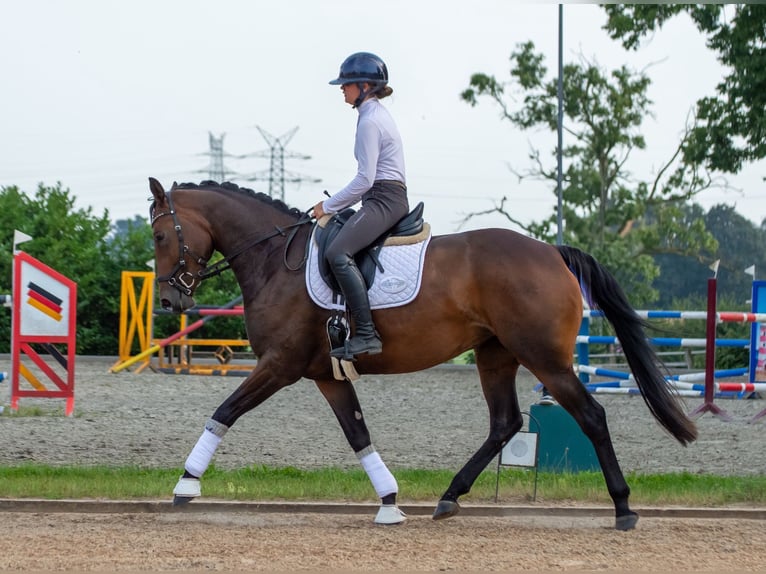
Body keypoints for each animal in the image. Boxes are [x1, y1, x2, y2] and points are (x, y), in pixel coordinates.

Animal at [147, 177, 697, 530]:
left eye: (158, 234)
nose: (171, 301)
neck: (273, 260)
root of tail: (551, 251)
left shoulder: (279, 365)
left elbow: (225, 411)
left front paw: (186, 484)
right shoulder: (326, 374)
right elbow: (358, 434)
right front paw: (390, 501)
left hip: (545, 359)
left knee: (591, 415)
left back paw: (623, 509)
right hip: (495, 356)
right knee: (505, 423)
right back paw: (450, 497)